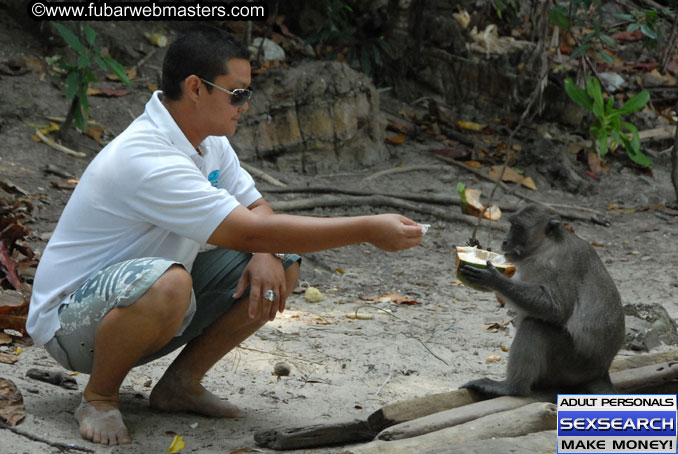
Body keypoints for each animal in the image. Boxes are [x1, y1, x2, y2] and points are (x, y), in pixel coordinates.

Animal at [460, 204, 624, 396]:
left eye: (517, 227)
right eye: (511, 225)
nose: (505, 241)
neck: (546, 246)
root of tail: (601, 371)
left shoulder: (555, 265)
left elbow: (558, 310)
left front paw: (494, 279)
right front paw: (478, 247)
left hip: (572, 365)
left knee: (536, 325)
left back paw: (512, 388)